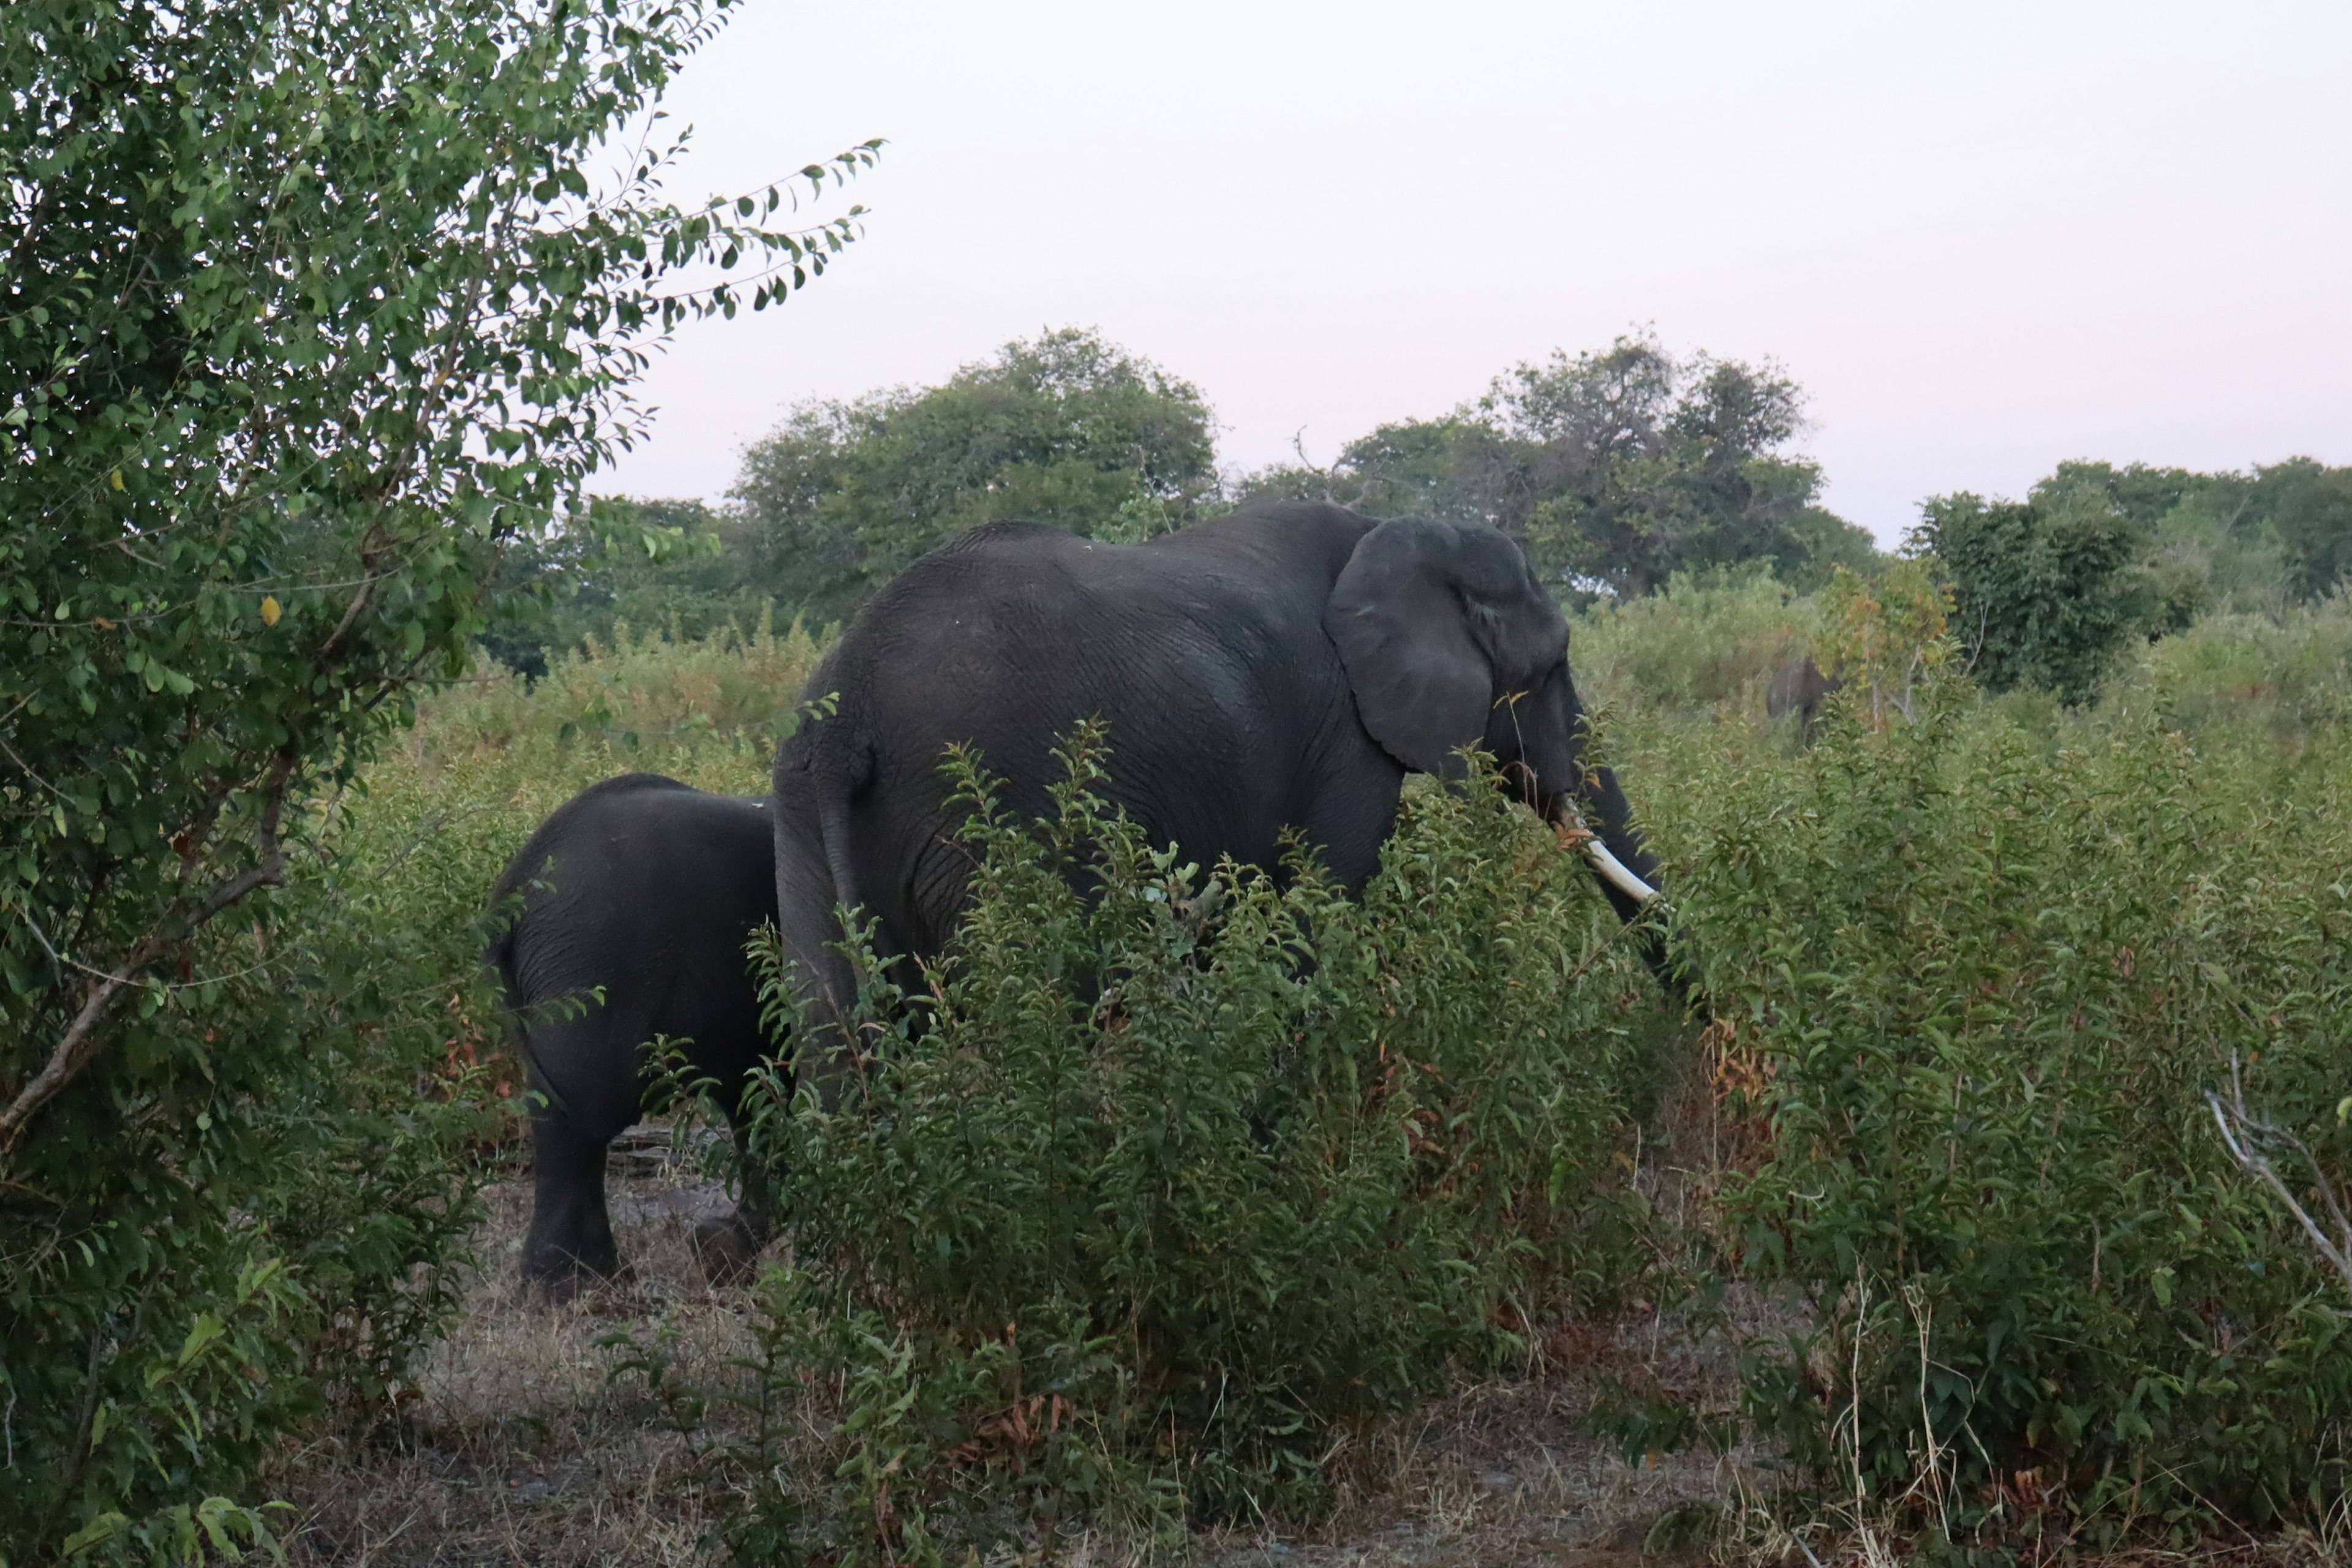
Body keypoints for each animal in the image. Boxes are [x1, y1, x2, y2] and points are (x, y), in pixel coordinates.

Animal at [766, 503, 1656, 1067]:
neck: (1395, 525)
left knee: (826, 1031)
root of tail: (847, 716)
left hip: (803, 819)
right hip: (1004, 816)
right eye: (1554, 666)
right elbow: (1317, 907)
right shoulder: (1344, 736)